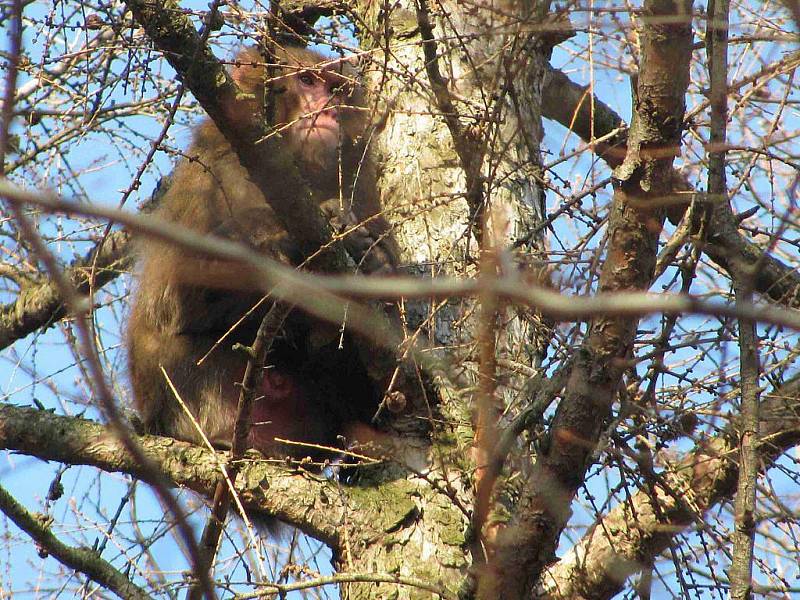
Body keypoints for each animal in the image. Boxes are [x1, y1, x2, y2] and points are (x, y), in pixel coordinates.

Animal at [127, 45, 396, 460]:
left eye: (336, 89)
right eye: (307, 80)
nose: (328, 110)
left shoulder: (359, 181)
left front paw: (374, 260)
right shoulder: (212, 174)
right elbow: (175, 293)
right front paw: (287, 238)